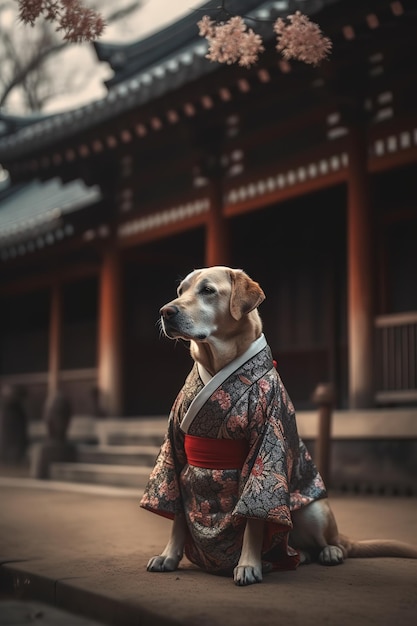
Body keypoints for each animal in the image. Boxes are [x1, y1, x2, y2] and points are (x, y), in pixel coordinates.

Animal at [141, 266, 416, 584]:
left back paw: (329, 552)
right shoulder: (176, 445)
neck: (218, 363)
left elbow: (254, 518)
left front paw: (248, 565)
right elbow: (176, 511)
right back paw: (300, 556)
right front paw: (169, 556)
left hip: (313, 510)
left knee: (335, 543)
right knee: (300, 549)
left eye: (207, 291)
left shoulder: (264, 443)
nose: (166, 311)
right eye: (180, 291)